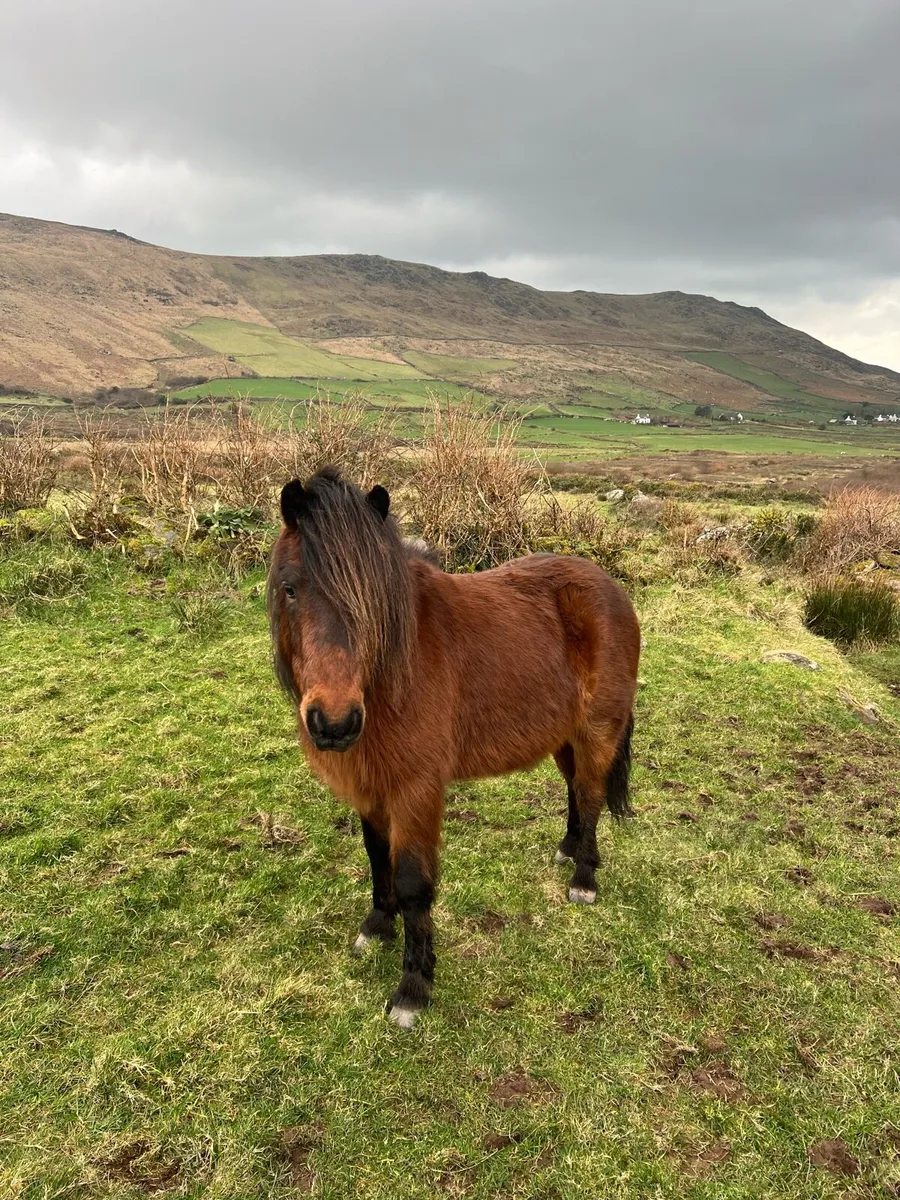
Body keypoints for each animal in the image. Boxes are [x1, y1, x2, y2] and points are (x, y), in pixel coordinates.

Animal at [268, 467, 641, 1029]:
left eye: (376, 599)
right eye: (290, 588)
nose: (334, 723)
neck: (394, 676)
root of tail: (608, 587)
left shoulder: (417, 790)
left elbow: (413, 882)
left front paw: (413, 988)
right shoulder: (372, 786)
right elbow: (377, 857)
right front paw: (377, 925)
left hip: (597, 731)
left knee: (593, 795)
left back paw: (584, 877)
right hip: (564, 736)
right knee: (577, 791)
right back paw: (567, 849)